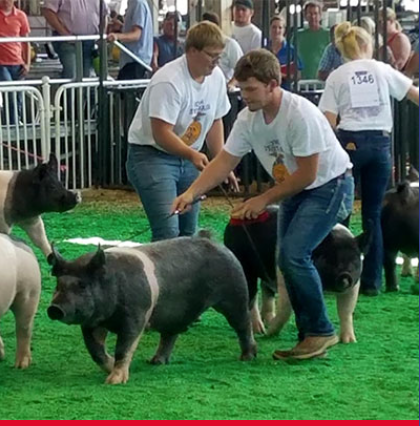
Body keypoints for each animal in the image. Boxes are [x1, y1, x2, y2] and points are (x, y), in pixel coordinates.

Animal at [46, 235, 256, 384]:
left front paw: (113, 381)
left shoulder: (136, 315)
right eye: (58, 284)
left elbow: (124, 347)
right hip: (174, 315)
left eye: (82, 285)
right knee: (170, 334)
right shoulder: (91, 322)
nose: (54, 308)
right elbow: (95, 350)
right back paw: (155, 361)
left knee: (243, 324)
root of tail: (219, 244)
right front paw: (111, 367)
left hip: (234, 294)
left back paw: (248, 357)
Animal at [225, 208, 370, 344]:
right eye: (330, 260)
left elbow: (346, 311)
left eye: (354, 261)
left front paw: (349, 341)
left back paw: (267, 321)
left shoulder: (354, 286)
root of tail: (233, 219)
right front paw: (269, 334)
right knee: (251, 298)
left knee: (266, 291)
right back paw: (260, 330)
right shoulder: (285, 279)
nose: (345, 275)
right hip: (244, 265)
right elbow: (285, 309)